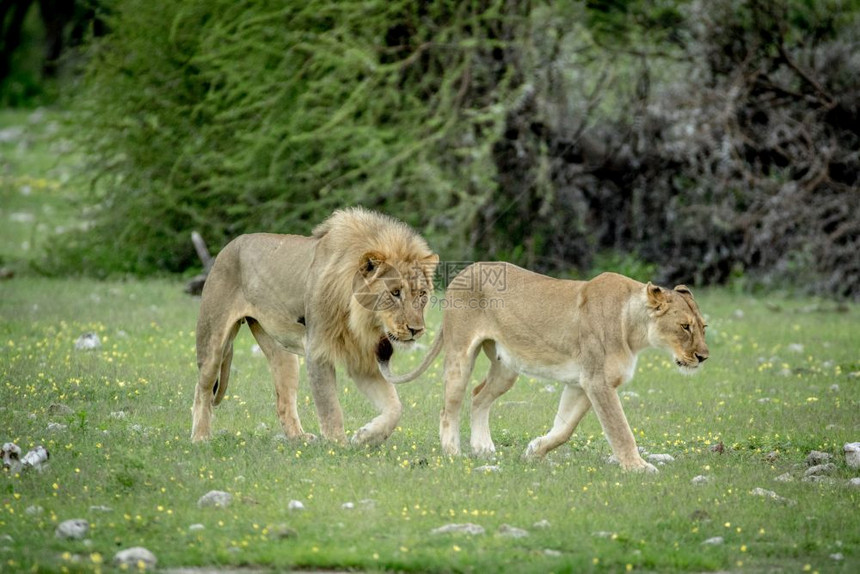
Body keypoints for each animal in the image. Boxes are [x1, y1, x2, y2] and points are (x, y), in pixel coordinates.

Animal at [192, 209, 440, 448]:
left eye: (422, 294)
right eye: (395, 293)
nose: (416, 329)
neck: (361, 321)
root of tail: (229, 246)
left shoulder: (362, 359)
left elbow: (395, 407)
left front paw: (365, 437)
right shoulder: (318, 351)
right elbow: (330, 406)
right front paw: (337, 446)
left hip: (283, 355)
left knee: (283, 401)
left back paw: (299, 439)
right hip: (213, 342)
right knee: (202, 390)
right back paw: (200, 438)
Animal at [380, 264, 708, 474]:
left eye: (703, 327)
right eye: (685, 327)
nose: (704, 357)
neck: (635, 329)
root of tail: (463, 271)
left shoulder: (580, 384)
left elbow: (564, 428)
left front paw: (534, 450)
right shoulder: (597, 381)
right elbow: (620, 429)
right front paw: (638, 467)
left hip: (506, 368)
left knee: (478, 396)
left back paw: (483, 448)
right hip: (461, 355)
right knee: (449, 407)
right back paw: (453, 452)